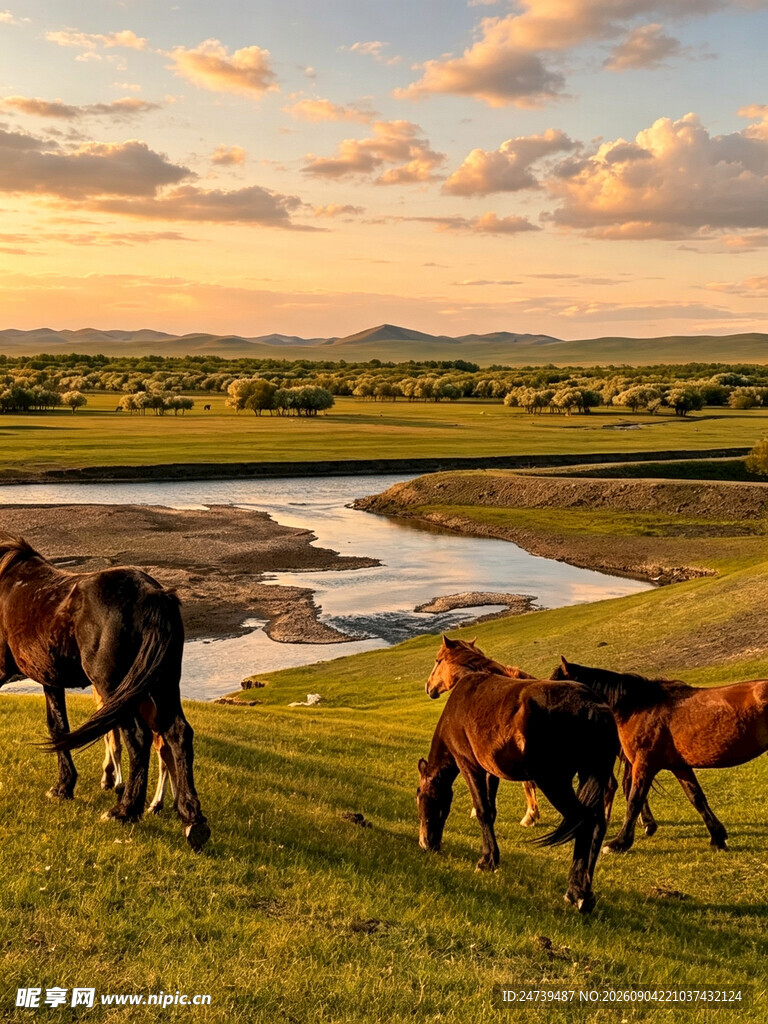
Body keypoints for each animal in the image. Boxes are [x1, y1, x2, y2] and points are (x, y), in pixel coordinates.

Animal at [0, 534, 209, 850]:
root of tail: (151, 594)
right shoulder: (51, 680)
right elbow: (58, 728)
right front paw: (63, 787)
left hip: (115, 688)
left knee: (138, 738)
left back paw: (125, 810)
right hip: (162, 685)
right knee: (178, 734)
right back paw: (191, 820)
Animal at [551, 657, 768, 853]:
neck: (639, 707)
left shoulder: (644, 764)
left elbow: (634, 800)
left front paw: (619, 843)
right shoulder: (679, 766)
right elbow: (697, 798)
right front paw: (718, 838)